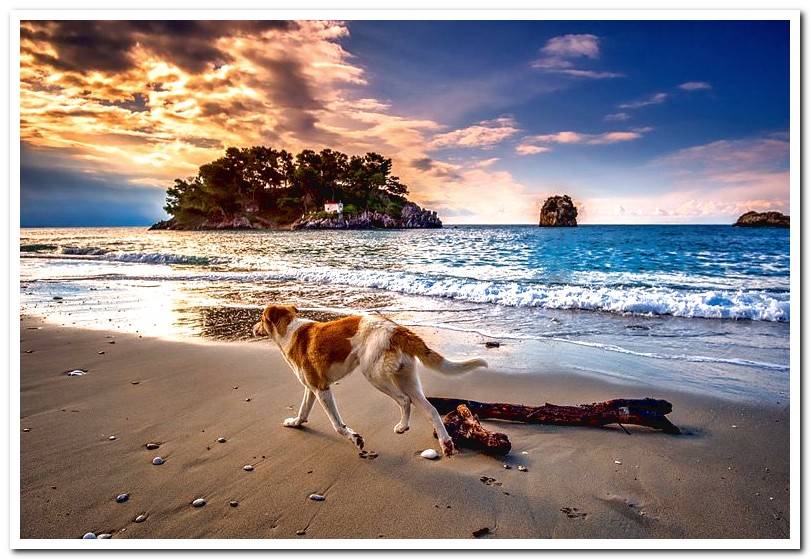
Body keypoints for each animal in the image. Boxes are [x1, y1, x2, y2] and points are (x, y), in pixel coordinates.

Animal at [252, 304, 488, 458]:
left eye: (261, 318)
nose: (253, 328)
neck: (290, 330)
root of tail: (397, 329)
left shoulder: (322, 389)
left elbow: (337, 425)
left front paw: (355, 438)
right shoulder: (312, 388)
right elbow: (303, 411)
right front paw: (295, 423)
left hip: (374, 375)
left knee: (404, 400)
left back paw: (404, 427)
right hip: (406, 378)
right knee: (430, 409)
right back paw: (445, 443)